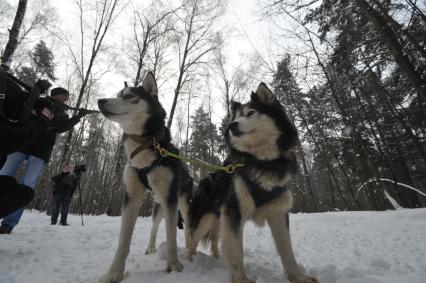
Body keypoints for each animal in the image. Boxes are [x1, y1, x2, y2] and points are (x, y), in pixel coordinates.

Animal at [98, 72, 191, 282]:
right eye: (118, 94)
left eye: (129, 96)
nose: (100, 101)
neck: (144, 144)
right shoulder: (131, 197)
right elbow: (123, 241)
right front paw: (114, 272)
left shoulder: (171, 199)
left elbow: (172, 235)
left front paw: (174, 266)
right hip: (158, 207)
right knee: (154, 227)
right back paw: (150, 248)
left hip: (181, 204)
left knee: (189, 229)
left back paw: (191, 251)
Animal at [187, 84, 316, 283]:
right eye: (235, 118)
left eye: (251, 113)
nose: (231, 125)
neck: (262, 161)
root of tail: (202, 180)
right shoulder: (234, 212)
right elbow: (236, 251)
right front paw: (241, 279)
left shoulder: (278, 212)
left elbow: (287, 251)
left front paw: (298, 277)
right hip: (206, 219)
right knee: (192, 241)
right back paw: (188, 263)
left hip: (218, 219)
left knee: (215, 240)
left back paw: (216, 258)